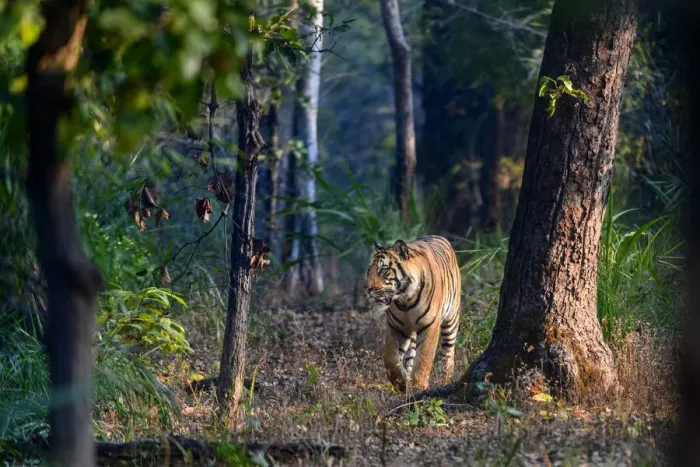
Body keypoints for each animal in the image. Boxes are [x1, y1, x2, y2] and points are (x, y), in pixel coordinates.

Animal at [364, 235, 462, 392]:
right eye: (369, 270)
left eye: (383, 270)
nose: (367, 289)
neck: (405, 300)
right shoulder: (395, 326)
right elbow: (390, 358)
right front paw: (402, 384)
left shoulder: (430, 324)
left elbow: (423, 358)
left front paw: (419, 386)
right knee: (409, 357)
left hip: (451, 320)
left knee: (448, 352)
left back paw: (445, 379)